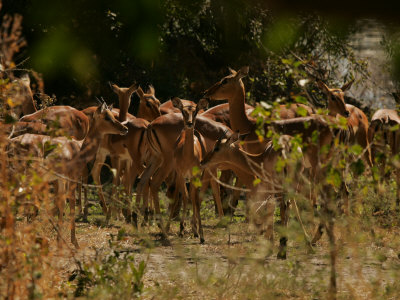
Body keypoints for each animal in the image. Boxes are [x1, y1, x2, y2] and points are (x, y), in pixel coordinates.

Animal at [8, 102, 128, 247]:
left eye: (113, 115)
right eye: (107, 117)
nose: (125, 128)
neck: (78, 148)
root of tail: (10, 143)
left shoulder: (60, 179)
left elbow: (61, 203)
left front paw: (60, 241)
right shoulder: (72, 178)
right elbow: (71, 204)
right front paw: (74, 242)